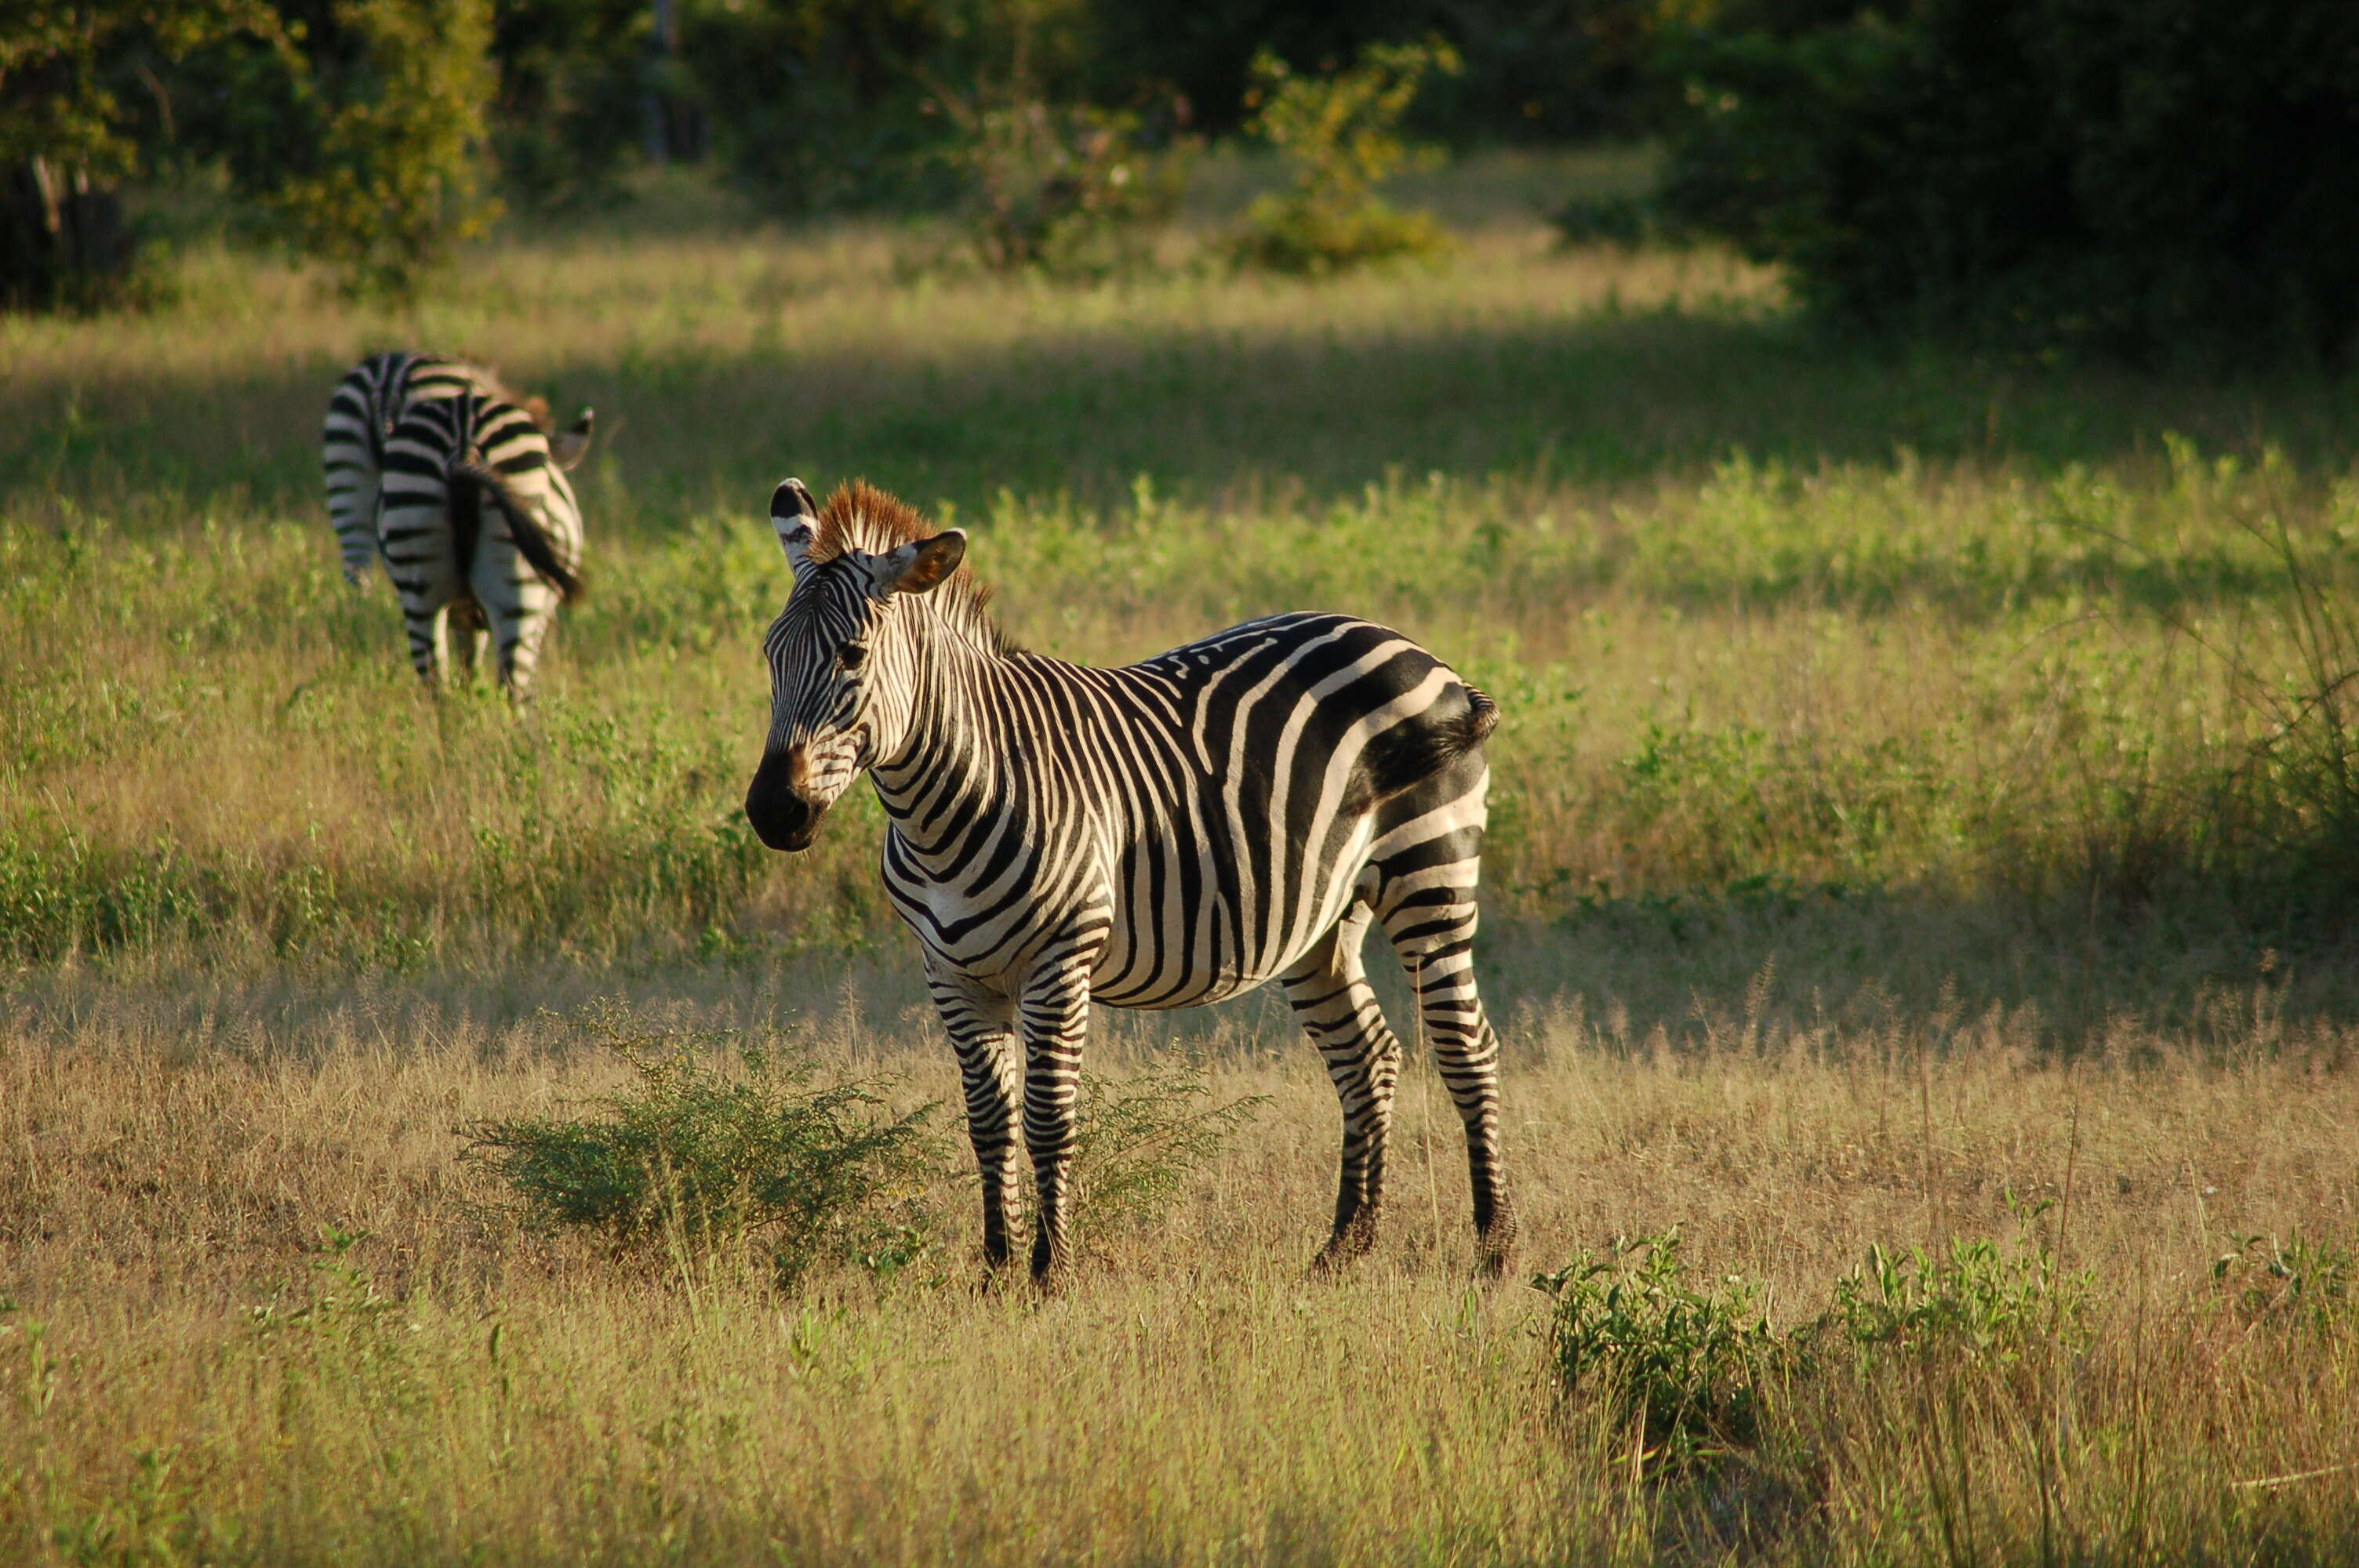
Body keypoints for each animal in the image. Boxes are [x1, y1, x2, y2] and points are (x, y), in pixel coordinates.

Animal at [373, 384, 590, 698]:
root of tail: (463, 447)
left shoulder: (466, 615)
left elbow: (468, 664)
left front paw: (471, 698)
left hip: (418, 580)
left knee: (436, 680)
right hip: (519, 588)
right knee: (514, 685)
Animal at [740, 483, 1510, 1283]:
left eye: (852, 655)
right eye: (769, 654)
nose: (773, 812)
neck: (950, 797)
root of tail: (1414, 649)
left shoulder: (1058, 962)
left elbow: (1048, 1118)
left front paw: (1050, 1272)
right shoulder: (950, 972)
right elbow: (988, 1123)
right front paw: (995, 1271)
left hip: (1432, 871)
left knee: (1467, 1047)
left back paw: (1494, 1248)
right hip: (1321, 917)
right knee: (1368, 1057)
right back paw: (1345, 1247)